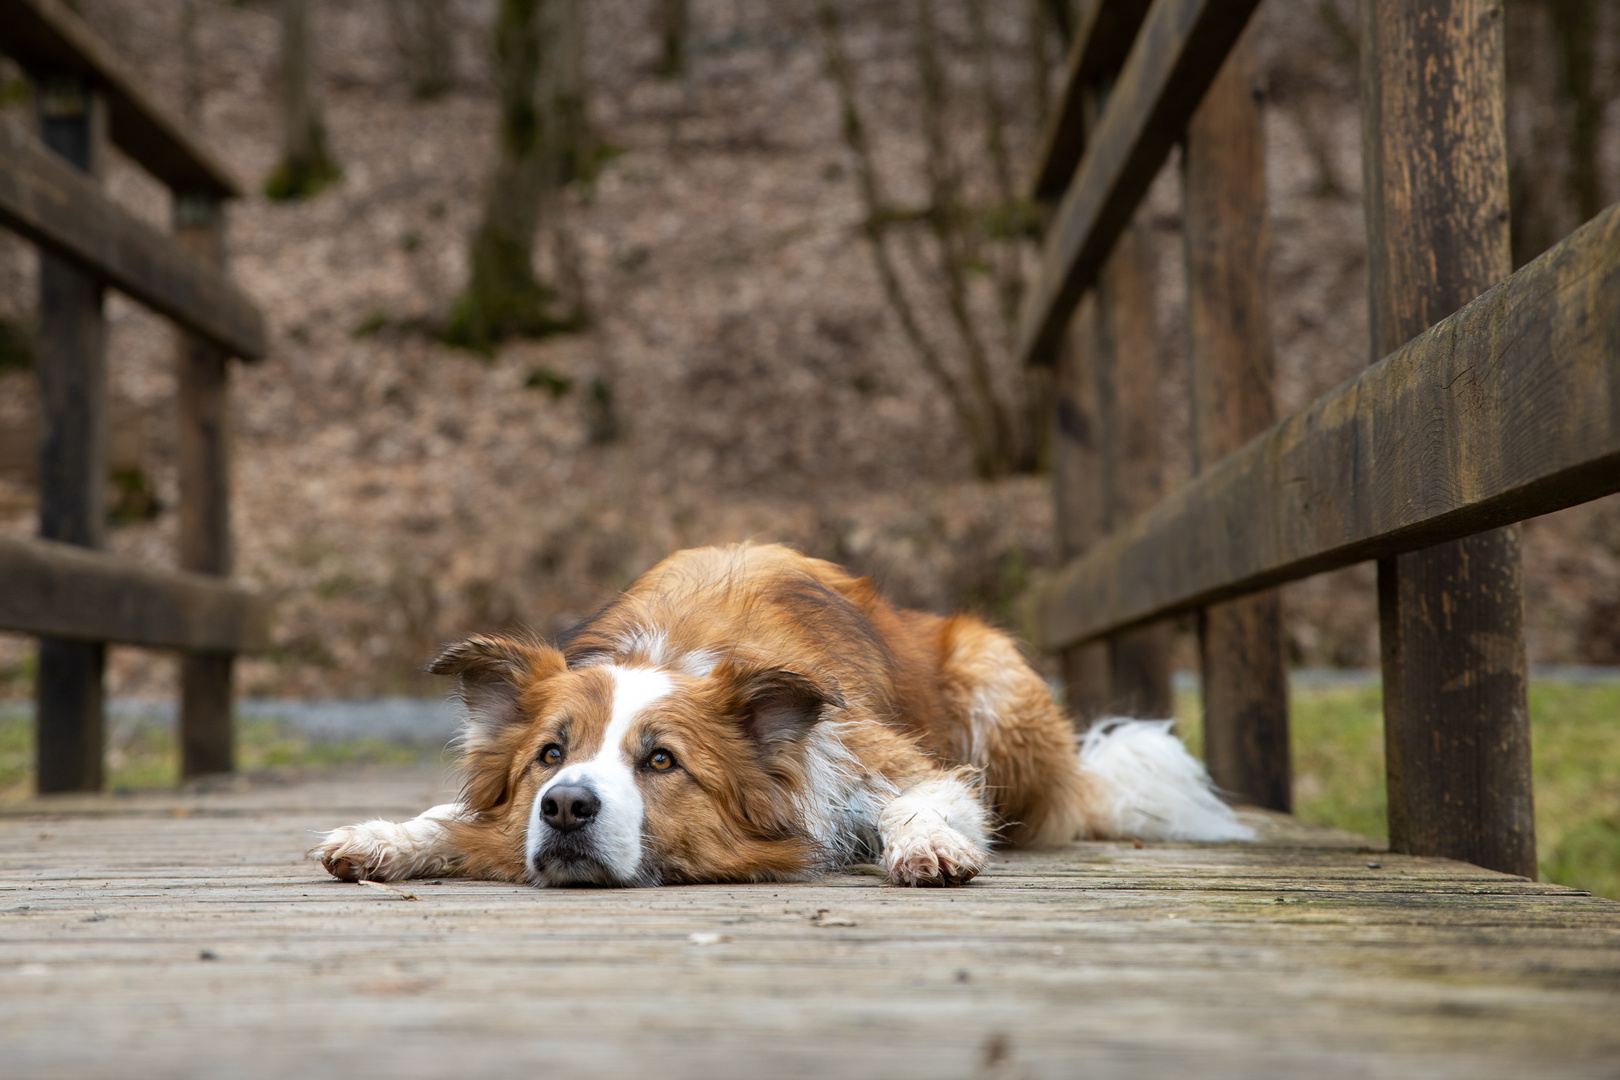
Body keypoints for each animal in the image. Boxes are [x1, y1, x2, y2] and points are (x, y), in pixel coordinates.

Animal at [315, 540, 1250, 887]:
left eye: (661, 761)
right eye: (550, 756)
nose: (568, 808)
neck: (674, 650)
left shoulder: (884, 760)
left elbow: (925, 800)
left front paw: (927, 847)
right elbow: (450, 816)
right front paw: (386, 835)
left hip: (995, 682)